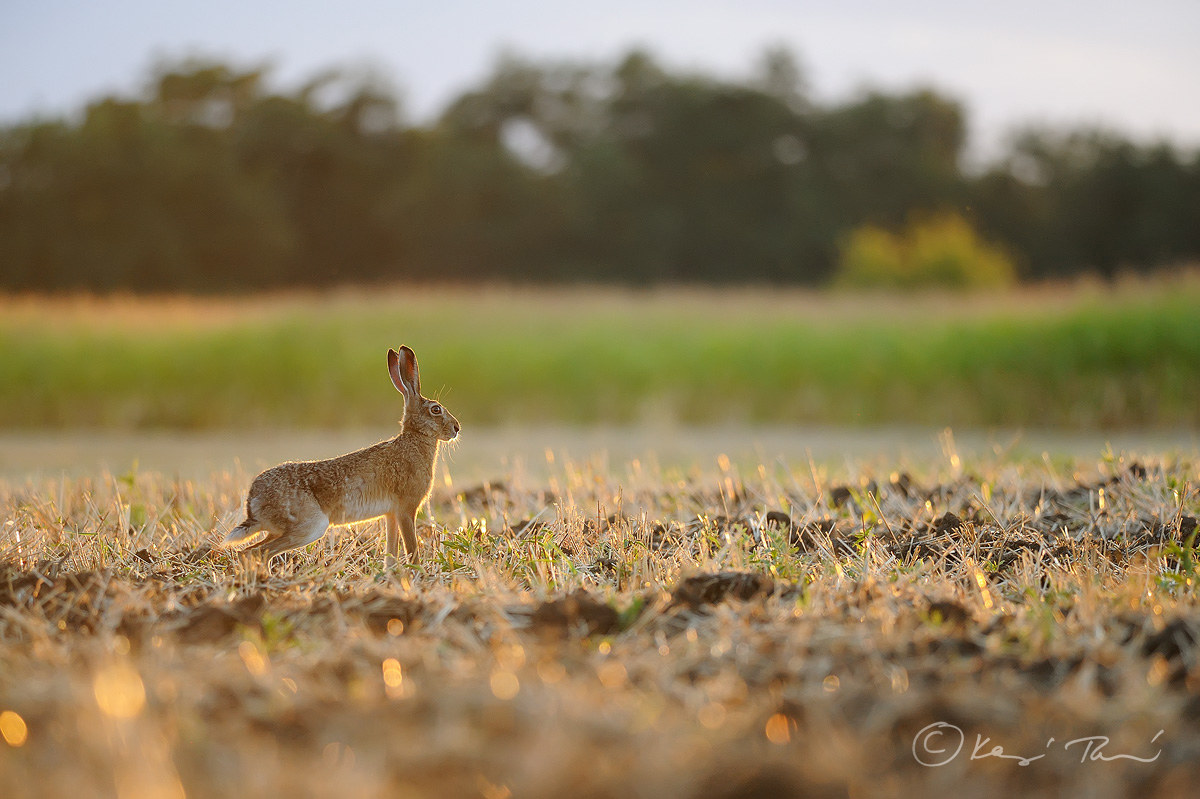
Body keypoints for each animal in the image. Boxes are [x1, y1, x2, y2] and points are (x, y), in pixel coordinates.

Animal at [223, 345, 459, 565]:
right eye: (436, 410)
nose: (456, 428)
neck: (415, 437)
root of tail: (253, 502)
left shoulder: (391, 514)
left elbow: (391, 551)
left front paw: (393, 574)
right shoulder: (405, 509)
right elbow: (411, 549)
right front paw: (417, 571)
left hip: (279, 530)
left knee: (247, 552)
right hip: (311, 526)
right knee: (257, 553)